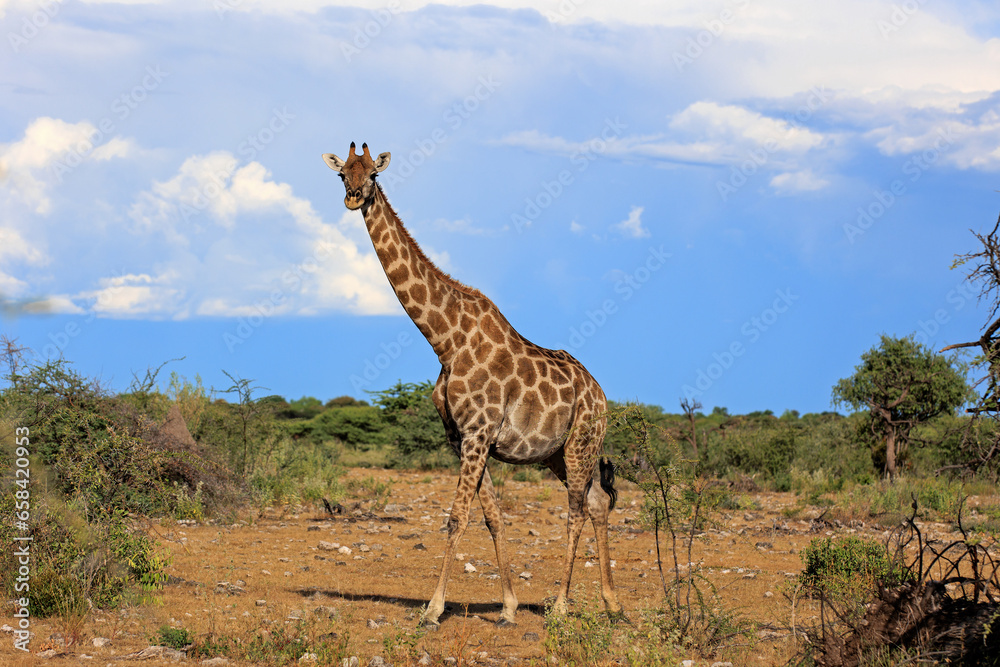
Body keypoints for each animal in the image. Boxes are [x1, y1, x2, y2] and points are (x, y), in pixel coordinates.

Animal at [322, 142, 621, 627]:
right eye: (342, 173)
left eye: (373, 174)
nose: (352, 197)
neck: (445, 340)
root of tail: (601, 394)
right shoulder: (460, 437)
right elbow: (492, 517)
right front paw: (509, 607)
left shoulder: (479, 433)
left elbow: (456, 518)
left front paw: (433, 608)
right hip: (557, 452)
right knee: (596, 502)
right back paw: (612, 603)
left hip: (581, 443)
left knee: (575, 510)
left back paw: (560, 606)